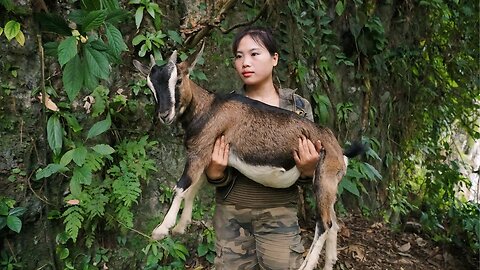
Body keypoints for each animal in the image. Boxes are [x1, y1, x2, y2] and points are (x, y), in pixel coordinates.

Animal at [133, 44, 366, 270]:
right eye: (150, 87)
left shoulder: (199, 151)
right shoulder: (207, 156)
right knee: (334, 222)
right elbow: (192, 189)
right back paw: (329, 263)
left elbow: (181, 187)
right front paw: (181, 226)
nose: (164, 115)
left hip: (324, 176)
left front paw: (161, 229)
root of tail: (338, 150)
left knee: (325, 223)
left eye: (178, 79)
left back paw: (306, 266)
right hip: (328, 183)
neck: (208, 109)